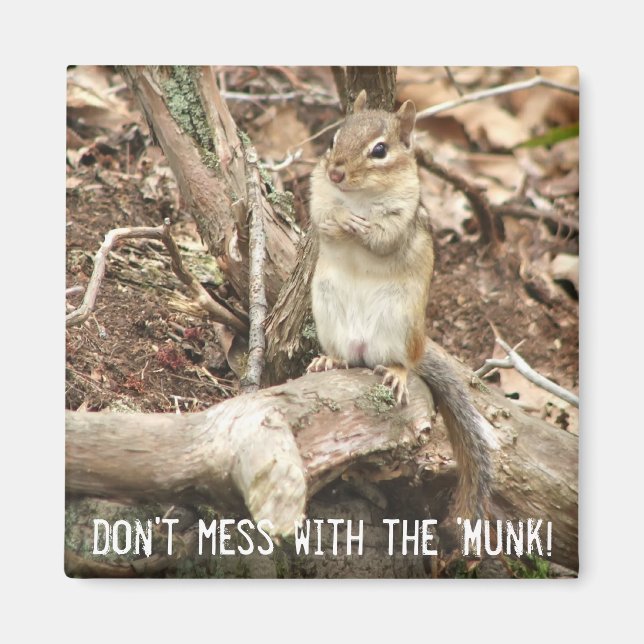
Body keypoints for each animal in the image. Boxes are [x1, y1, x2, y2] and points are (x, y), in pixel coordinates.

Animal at [307, 89, 497, 521]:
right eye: (334, 138)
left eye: (380, 150)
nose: (336, 173)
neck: (358, 198)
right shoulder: (318, 193)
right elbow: (320, 217)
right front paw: (337, 222)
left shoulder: (402, 216)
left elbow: (384, 239)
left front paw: (358, 228)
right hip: (325, 308)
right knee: (344, 357)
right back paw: (329, 360)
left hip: (401, 321)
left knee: (401, 362)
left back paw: (395, 371)